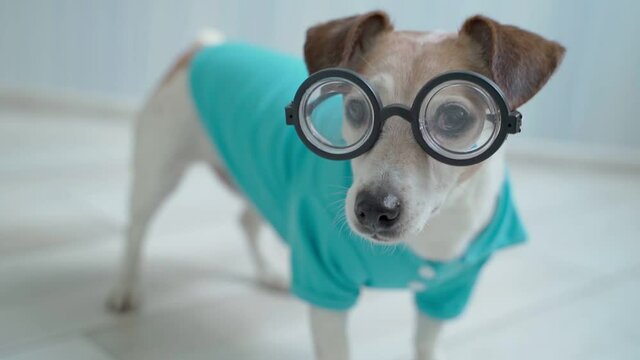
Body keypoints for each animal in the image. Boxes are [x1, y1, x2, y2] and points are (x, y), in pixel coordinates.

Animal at [107, 11, 564, 360]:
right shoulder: (326, 286)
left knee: (246, 220)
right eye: (357, 108)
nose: (373, 209)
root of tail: (205, 48)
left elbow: (425, 345)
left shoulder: (446, 294)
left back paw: (270, 272)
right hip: (158, 172)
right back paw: (125, 289)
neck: (431, 236)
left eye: (453, 116)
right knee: (136, 229)